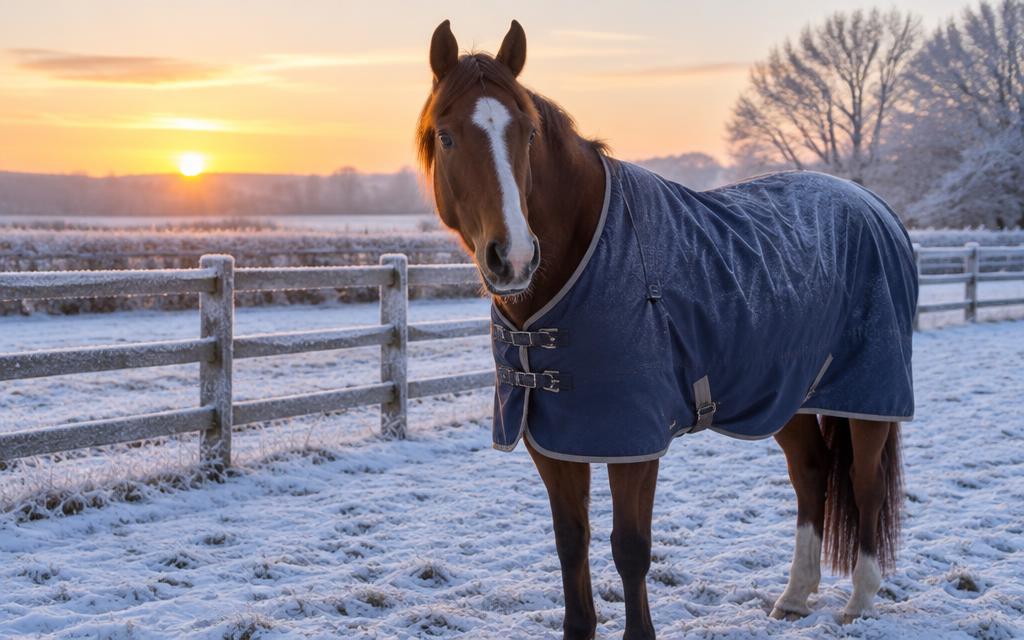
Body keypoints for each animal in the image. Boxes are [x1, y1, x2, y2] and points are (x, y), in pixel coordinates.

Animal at [417, 20, 913, 639]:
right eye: (446, 136)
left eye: (528, 134)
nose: (514, 258)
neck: (586, 253)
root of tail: (874, 205)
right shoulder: (551, 440)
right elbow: (571, 543)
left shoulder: (636, 439)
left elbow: (630, 548)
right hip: (789, 393)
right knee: (812, 473)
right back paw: (795, 597)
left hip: (869, 394)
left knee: (865, 485)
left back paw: (860, 602)